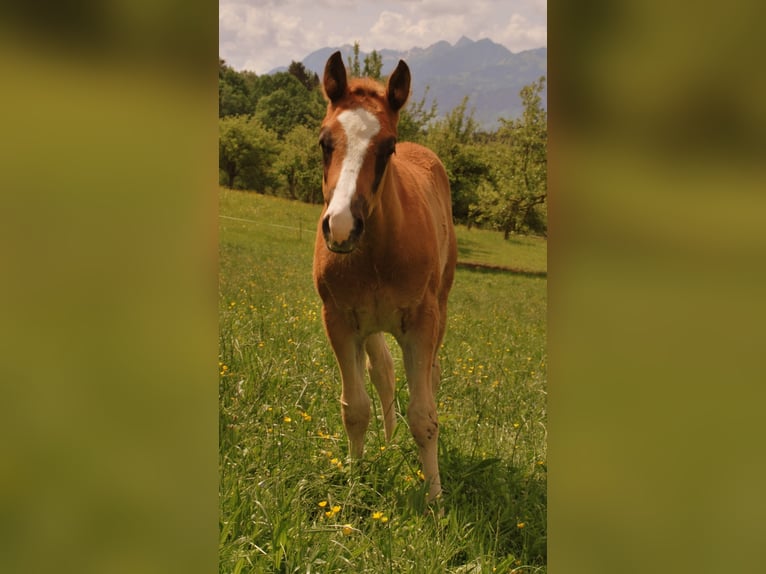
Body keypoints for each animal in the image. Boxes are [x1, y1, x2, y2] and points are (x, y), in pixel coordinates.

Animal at [312, 54, 456, 504]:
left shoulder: (422, 323)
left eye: (387, 147)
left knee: (430, 375)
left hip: (439, 307)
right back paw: (389, 442)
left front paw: (435, 500)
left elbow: (425, 415)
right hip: (371, 325)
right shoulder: (339, 320)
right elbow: (355, 408)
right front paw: (355, 484)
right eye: (324, 142)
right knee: (384, 371)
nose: (341, 227)